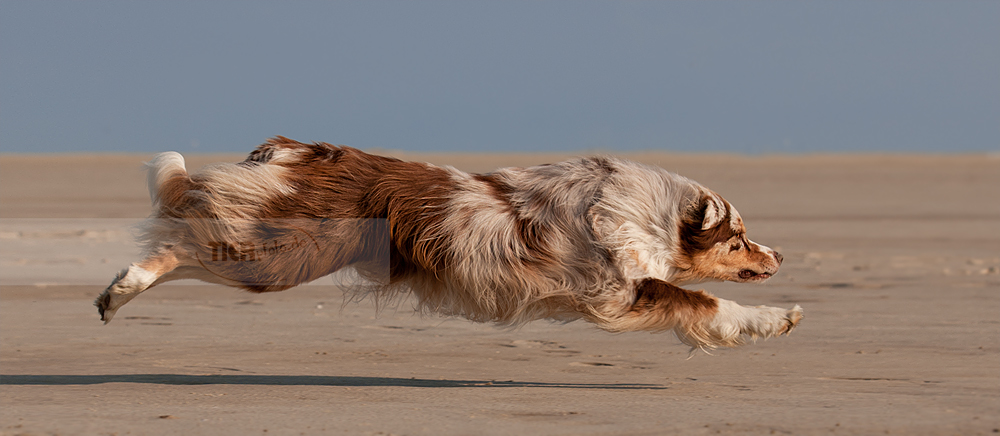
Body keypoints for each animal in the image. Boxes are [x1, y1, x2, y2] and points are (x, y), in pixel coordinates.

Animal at [97, 138, 800, 350]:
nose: (780, 256)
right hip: (281, 256)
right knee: (182, 243)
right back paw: (122, 288)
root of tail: (286, 149)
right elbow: (705, 303)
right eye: (740, 239)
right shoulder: (616, 292)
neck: (644, 213)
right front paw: (778, 317)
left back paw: (116, 293)